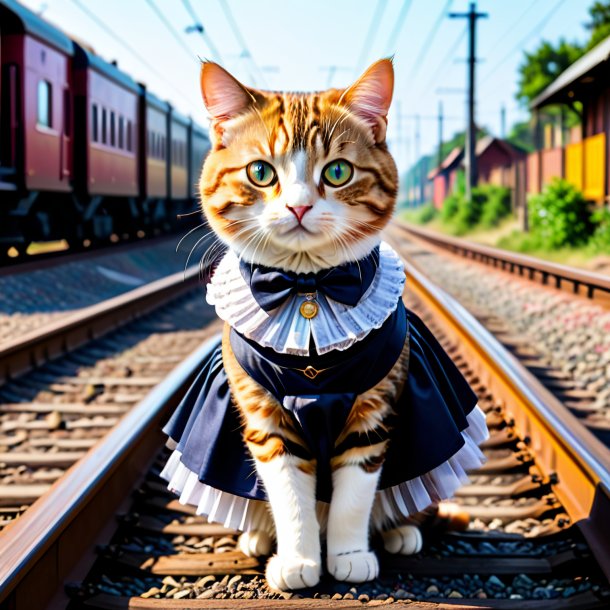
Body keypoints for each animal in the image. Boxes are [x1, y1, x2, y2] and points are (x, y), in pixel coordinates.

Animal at [159, 57, 486, 588]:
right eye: (260, 171)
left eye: (337, 171)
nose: (298, 205)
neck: (308, 291)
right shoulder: (265, 416)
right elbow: (291, 495)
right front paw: (299, 560)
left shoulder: (373, 408)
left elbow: (354, 494)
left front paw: (349, 555)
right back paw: (258, 538)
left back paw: (402, 532)